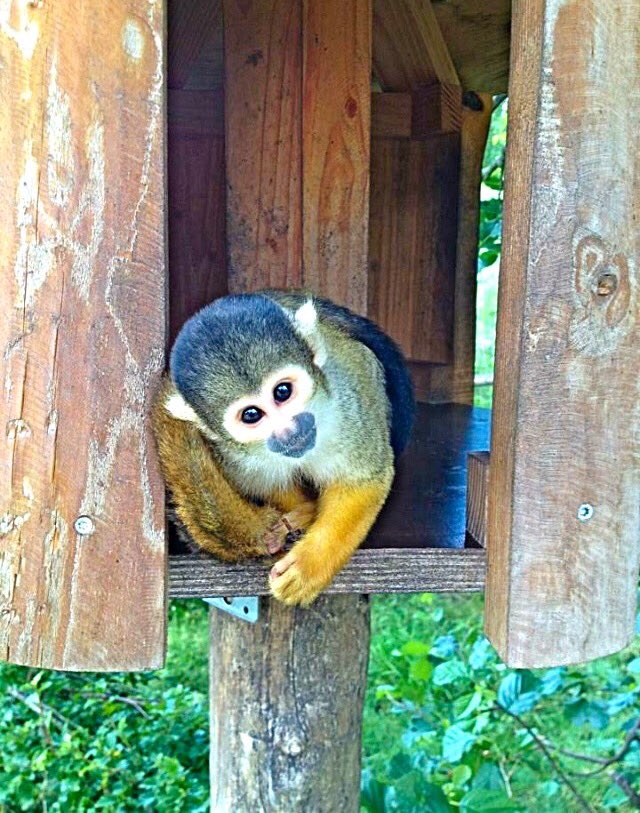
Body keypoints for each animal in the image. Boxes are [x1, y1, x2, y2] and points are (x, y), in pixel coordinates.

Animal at [152, 290, 415, 606]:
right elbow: (272, 486)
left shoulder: (349, 404)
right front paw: (303, 514)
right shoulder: (233, 455)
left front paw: (308, 567)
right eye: (251, 415)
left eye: (282, 392)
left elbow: (364, 482)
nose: (289, 431)